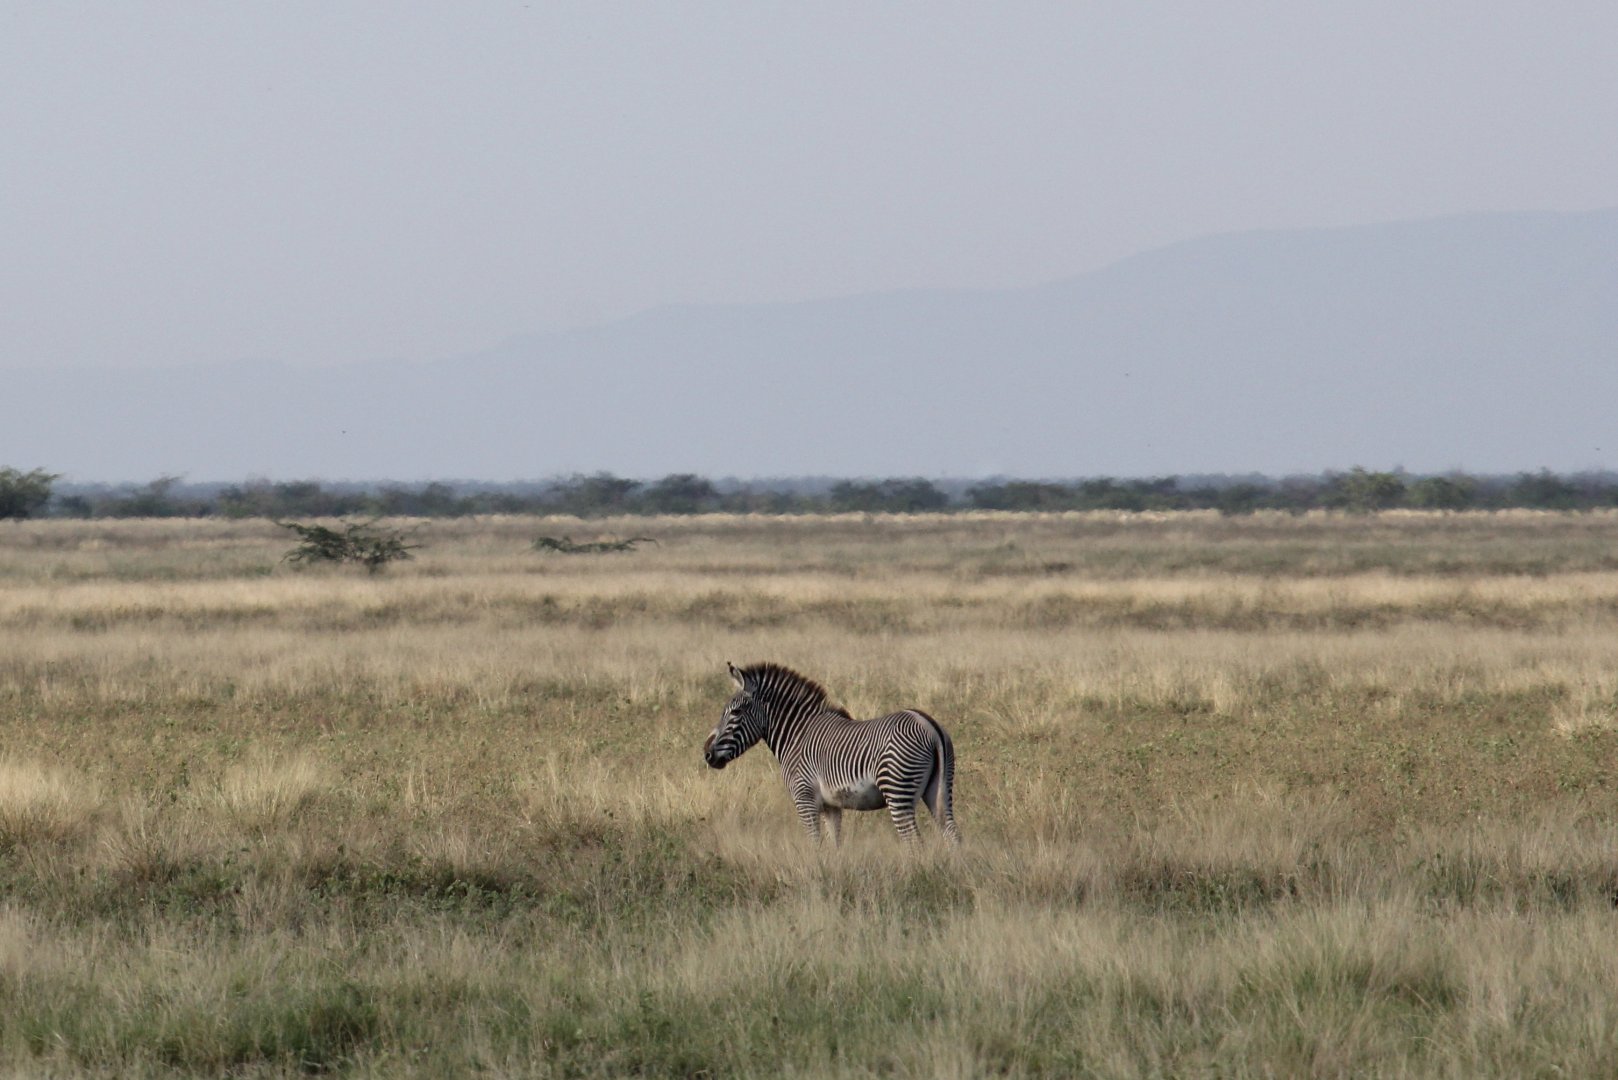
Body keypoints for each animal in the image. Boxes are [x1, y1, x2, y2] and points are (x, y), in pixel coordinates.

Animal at [703, 662, 959, 845]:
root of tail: (928, 724)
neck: (797, 734)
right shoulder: (831, 806)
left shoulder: (804, 798)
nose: (707, 753)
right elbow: (835, 844)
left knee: (913, 840)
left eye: (735, 712)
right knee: (952, 834)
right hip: (938, 789)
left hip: (897, 790)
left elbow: (815, 843)